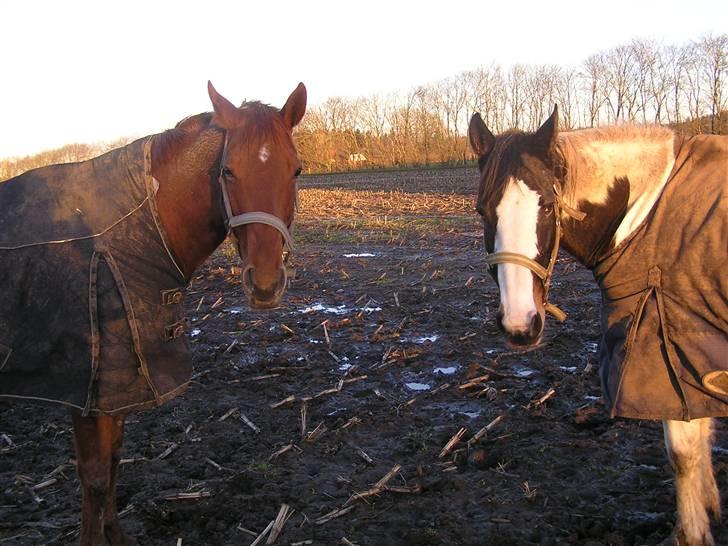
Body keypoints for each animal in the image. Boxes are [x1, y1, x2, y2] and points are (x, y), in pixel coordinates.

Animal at [0, 82, 306, 544]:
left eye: (296, 171)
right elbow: (94, 477)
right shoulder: (85, 393)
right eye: (228, 171)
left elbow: (112, 465)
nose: (266, 283)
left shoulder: (120, 389)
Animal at [470, 107, 724, 544]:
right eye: (483, 211)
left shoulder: (671, 356)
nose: (520, 324)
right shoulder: (693, 359)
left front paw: (691, 532)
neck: (646, 214)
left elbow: (683, 454)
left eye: (548, 208)